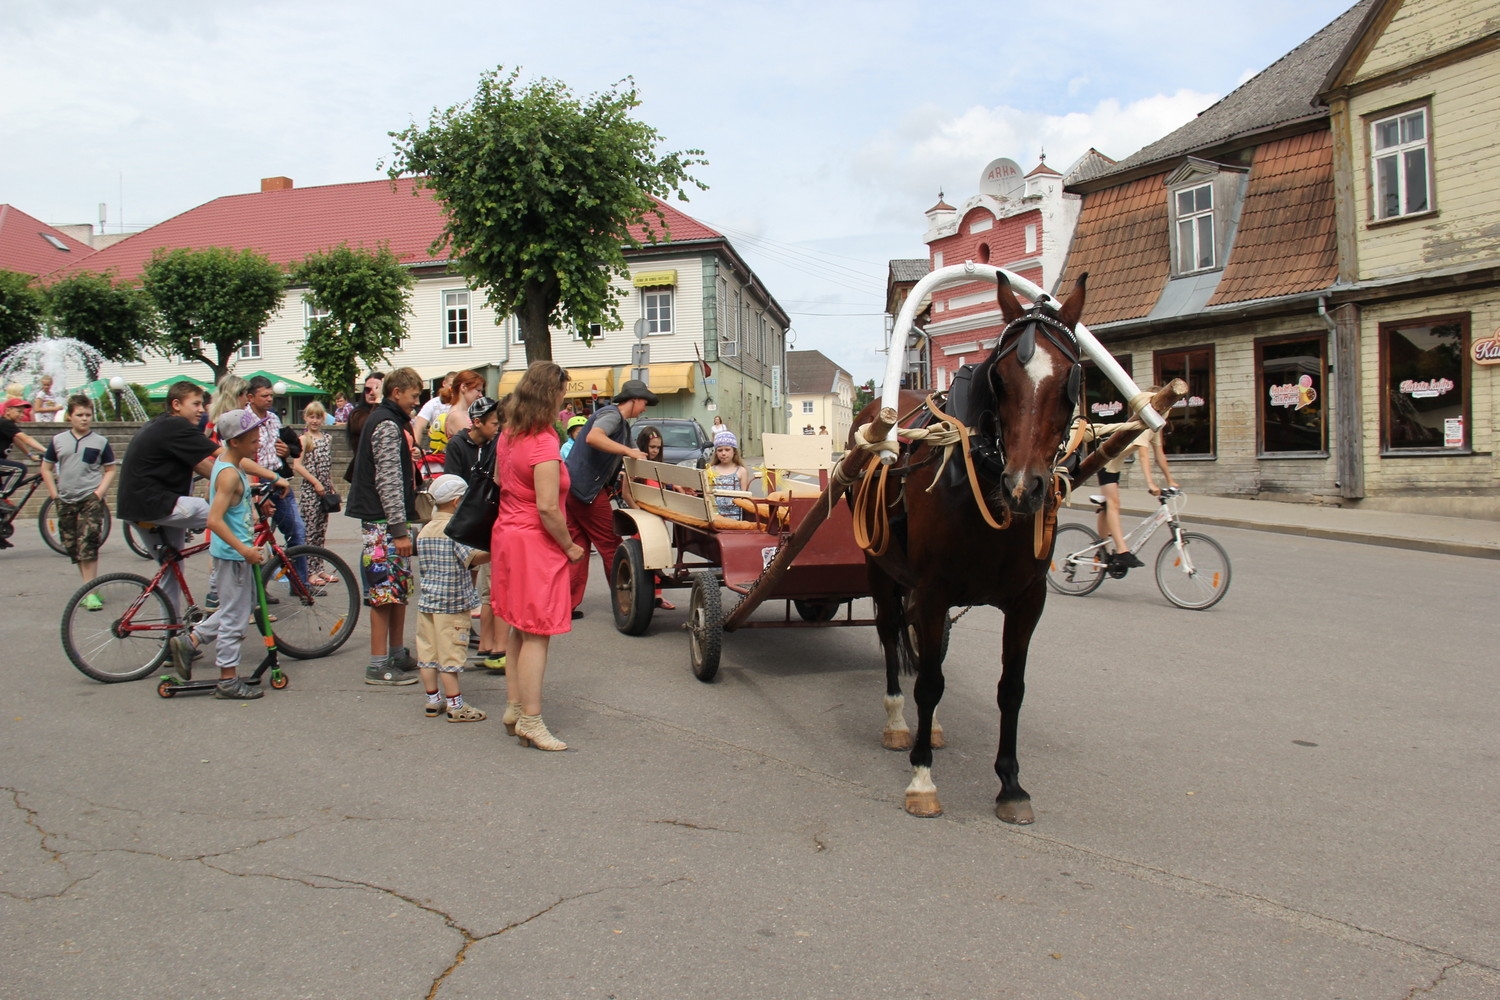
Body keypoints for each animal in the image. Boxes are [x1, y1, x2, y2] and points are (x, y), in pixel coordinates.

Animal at [858, 274, 1092, 821]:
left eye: (1070, 381)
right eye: (1000, 379)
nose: (1024, 487)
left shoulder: (1028, 600)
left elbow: (1011, 689)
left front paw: (1010, 784)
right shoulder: (934, 589)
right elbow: (928, 682)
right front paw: (922, 777)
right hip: (880, 570)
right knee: (889, 636)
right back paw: (899, 722)